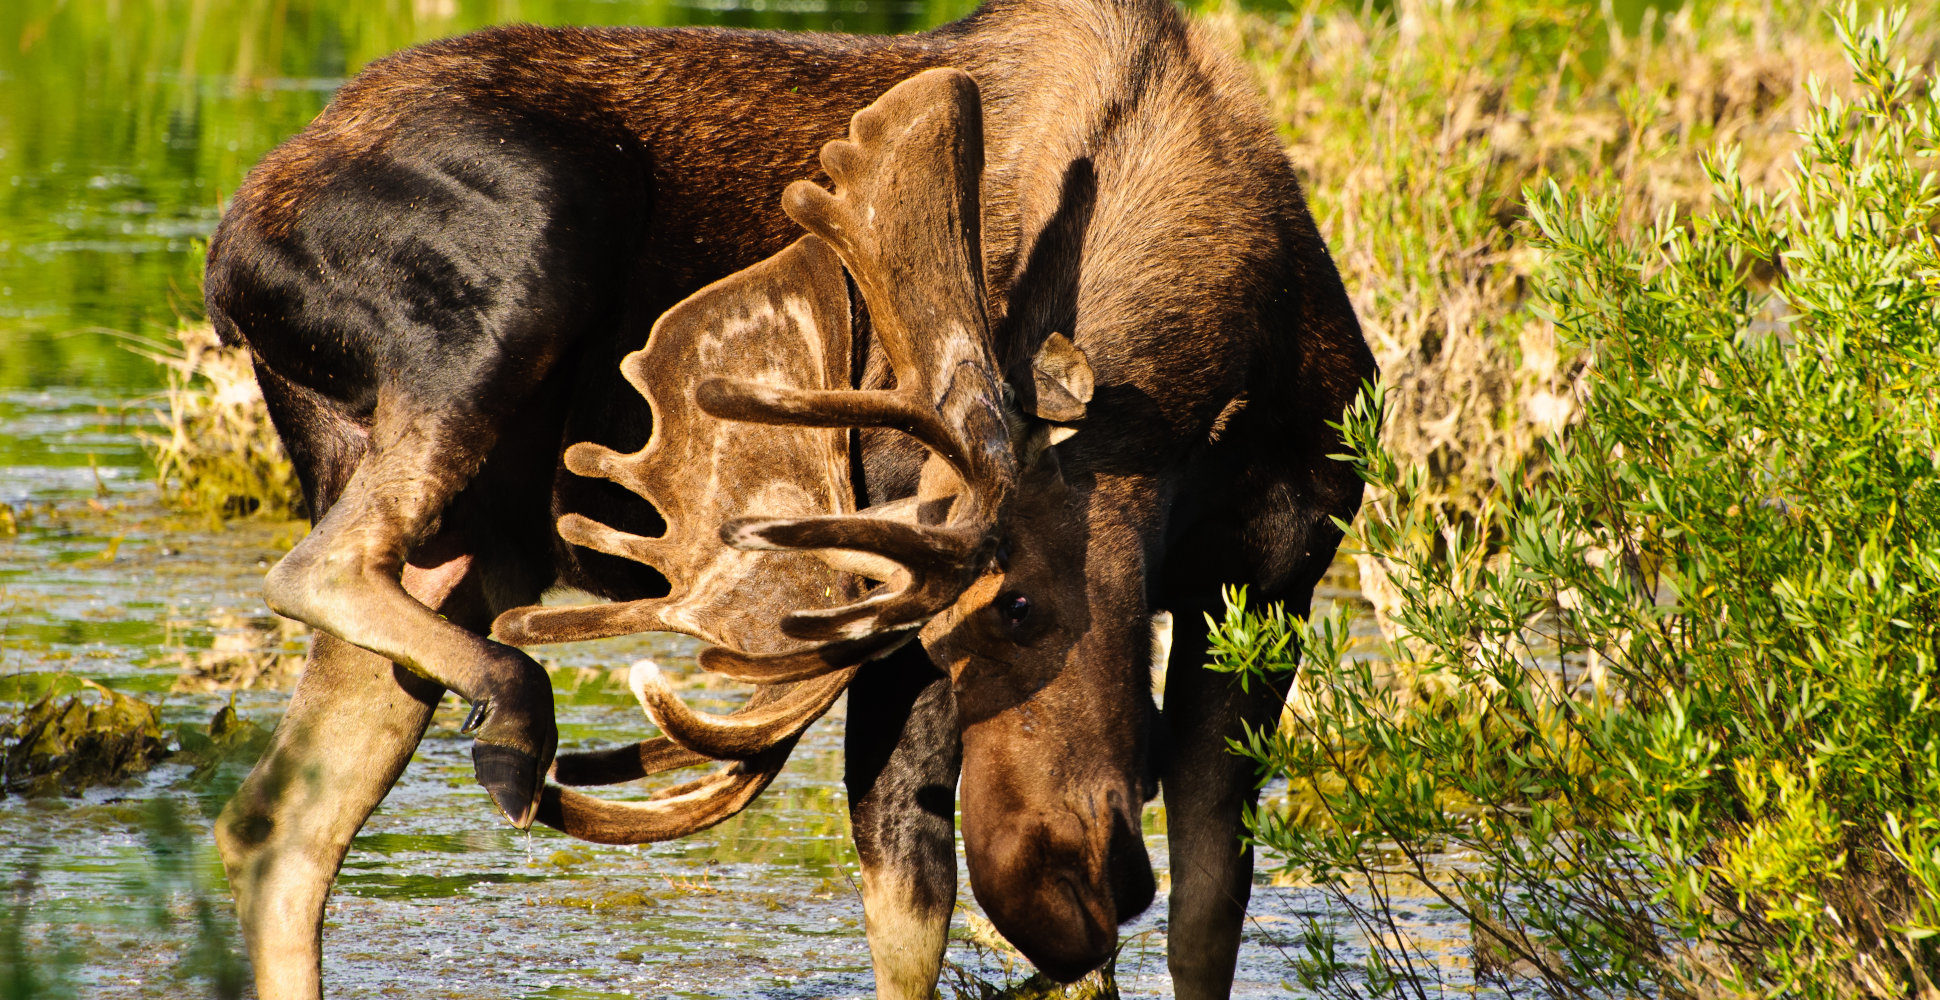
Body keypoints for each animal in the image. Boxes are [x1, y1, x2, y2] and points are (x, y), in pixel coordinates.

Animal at [201, 0, 1374, 997]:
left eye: (1024, 606)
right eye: (988, 615)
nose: (1059, 891)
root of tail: (225, 256)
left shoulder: (1278, 576)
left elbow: (1205, 919)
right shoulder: (890, 607)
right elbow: (909, 912)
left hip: (459, 533)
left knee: (276, 829)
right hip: (525, 255)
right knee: (319, 574)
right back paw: (516, 712)